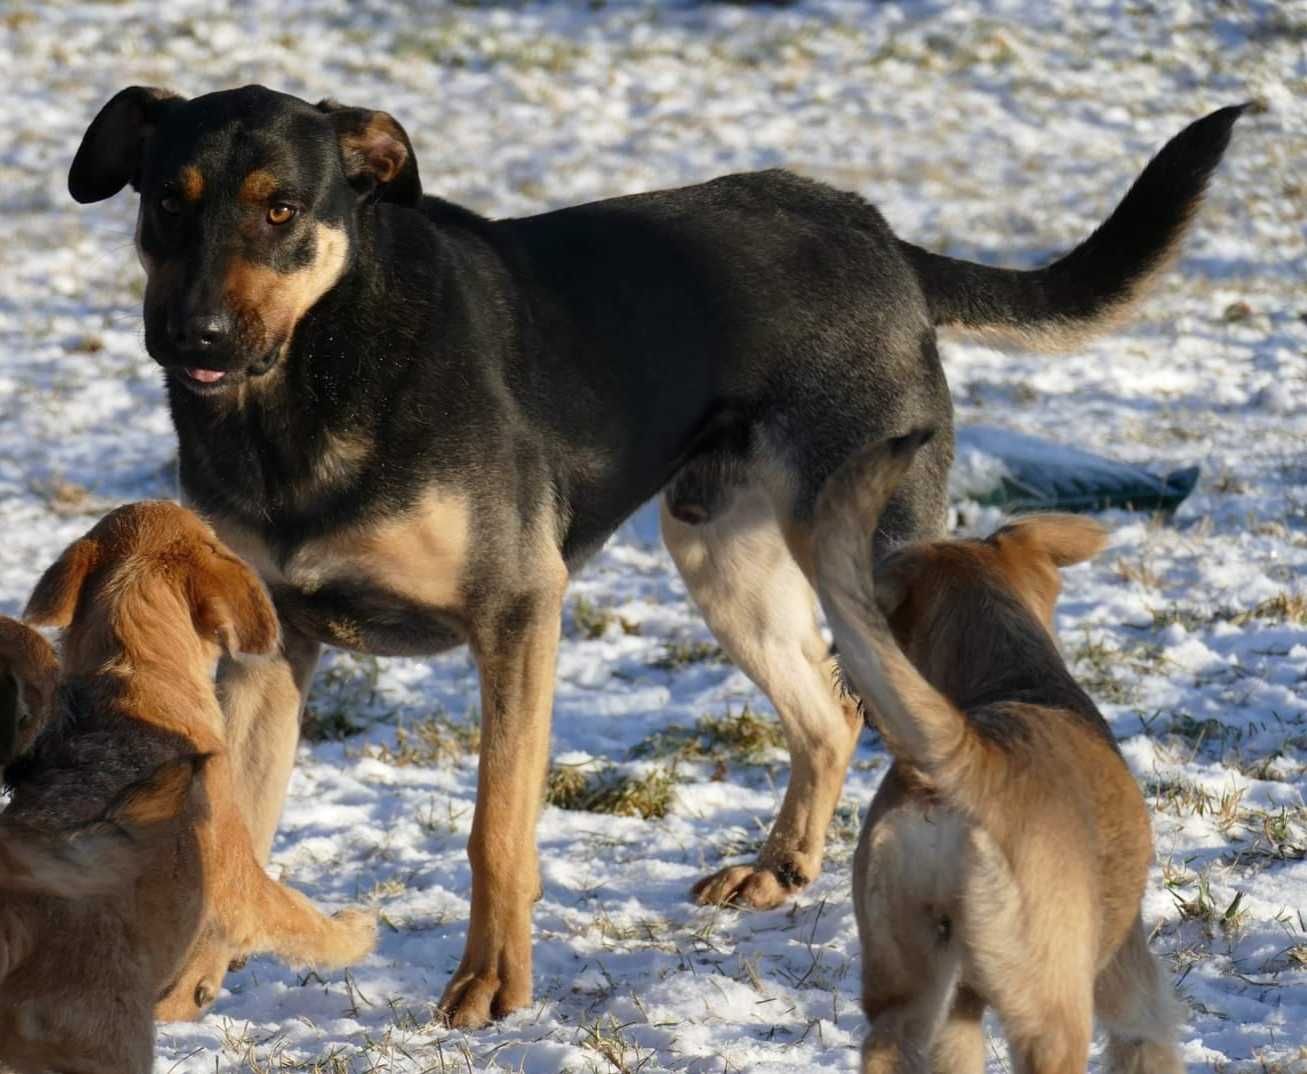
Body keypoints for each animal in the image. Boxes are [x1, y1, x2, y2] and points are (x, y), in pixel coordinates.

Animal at [810, 433, 1181, 1074]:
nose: (839, 669)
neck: (1013, 672)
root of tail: (968, 762)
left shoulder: (958, 1006)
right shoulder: (1129, 982)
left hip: (909, 985)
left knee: (891, 1042)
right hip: (1053, 1013)